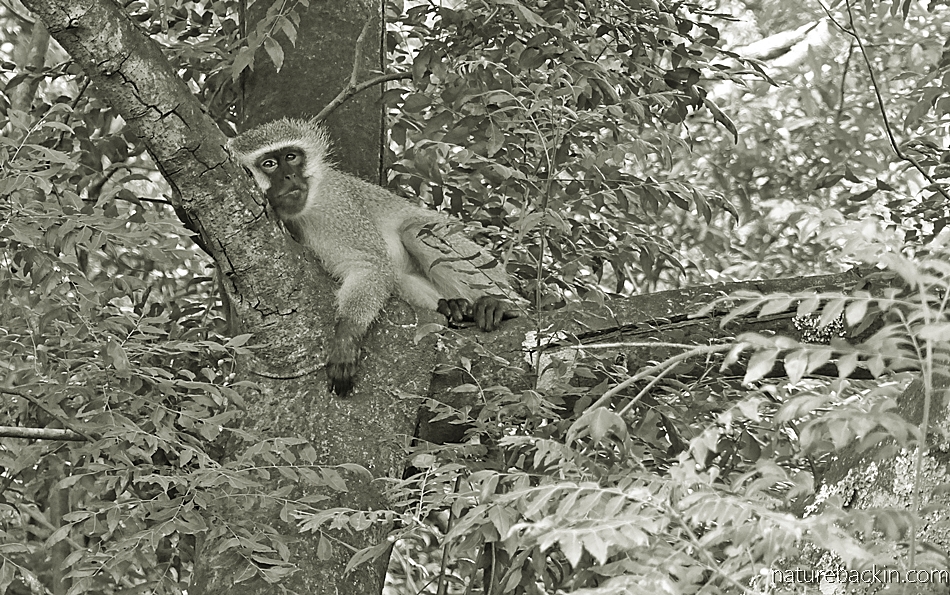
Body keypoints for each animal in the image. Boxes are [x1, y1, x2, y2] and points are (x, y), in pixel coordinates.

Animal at [228, 118, 522, 396]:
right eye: (268, 164)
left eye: (291, 157)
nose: (289, 177)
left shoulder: (336, 204)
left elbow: (369, 265)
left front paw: (346, 337)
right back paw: (454, 309)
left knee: (416, 231)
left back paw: (501, 306)